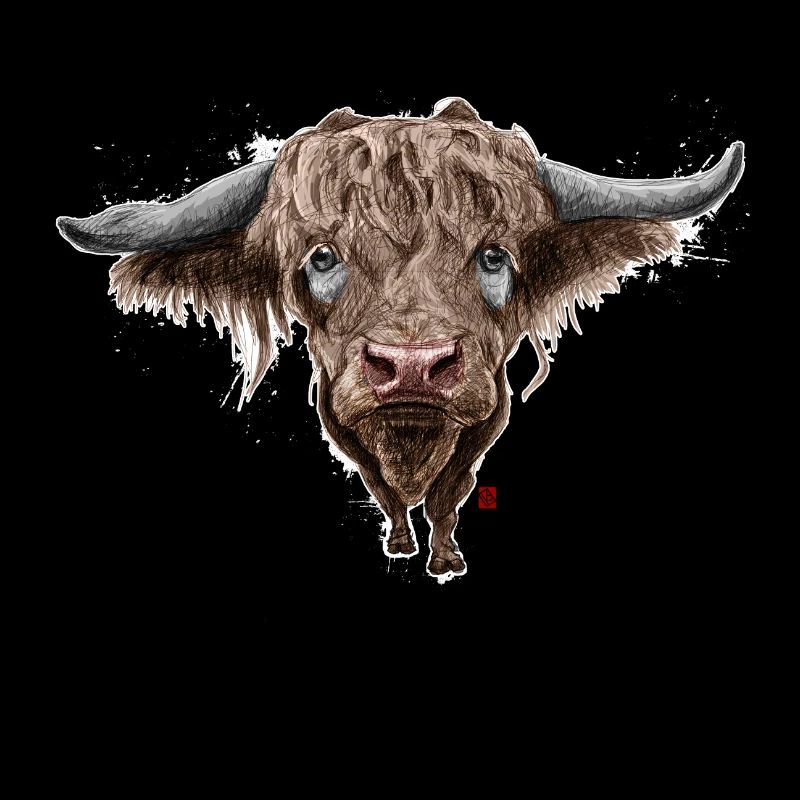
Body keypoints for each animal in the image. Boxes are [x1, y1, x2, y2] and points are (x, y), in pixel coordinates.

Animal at [57, 98, 745, 580]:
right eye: (322, 257)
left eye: (494, 256)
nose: (413, 365)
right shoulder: (341, 422)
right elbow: (384, 492)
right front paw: (398, 543)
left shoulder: (484, 421)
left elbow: (448, 497)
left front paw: (443, 561)